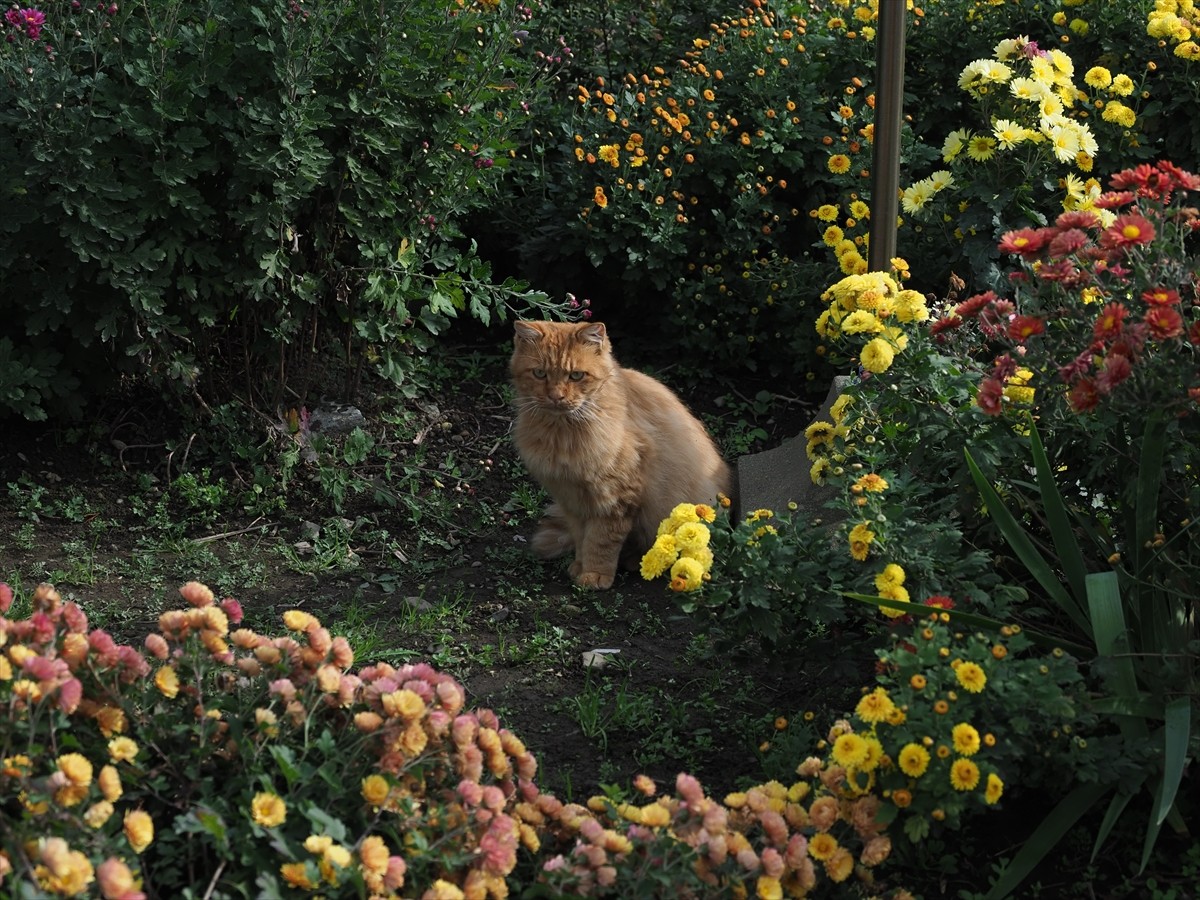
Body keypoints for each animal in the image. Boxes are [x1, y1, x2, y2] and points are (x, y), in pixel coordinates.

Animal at [508, 319, 729, 592]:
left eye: (576, 375)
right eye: (540, 373)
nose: (556, 397)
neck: (562, 433)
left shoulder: (614, 498)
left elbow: (601, 542)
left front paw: (594, 575)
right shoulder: (572, 499)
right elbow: (582, 539)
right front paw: (580, 566)